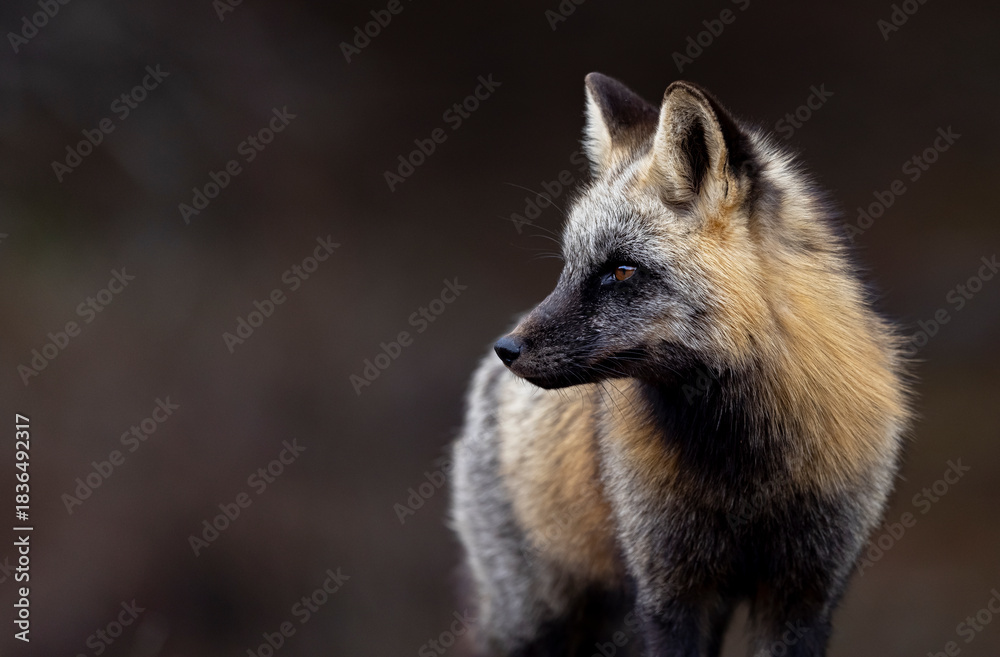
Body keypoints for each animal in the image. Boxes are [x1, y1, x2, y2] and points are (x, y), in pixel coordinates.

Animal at [449, 73, 911, 657]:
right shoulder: (669, 593)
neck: (743, 468)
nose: (507, 349)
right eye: (568, 267)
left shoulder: (804, 593)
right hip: (539, 620)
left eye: (621, 271)